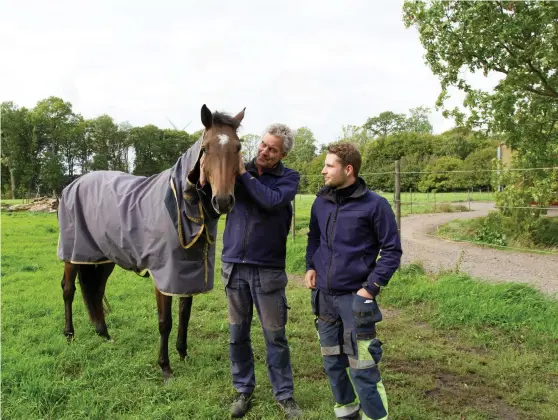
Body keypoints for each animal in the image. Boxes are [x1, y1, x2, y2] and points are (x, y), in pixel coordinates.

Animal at [57, 104, 245, 380]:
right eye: (207, 147)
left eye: (238, 147)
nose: (222, 201)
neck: (180, 203)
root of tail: (73, 184)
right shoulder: (164, 275)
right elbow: (165, 321)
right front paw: (165, 367)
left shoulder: (186, 273)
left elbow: (185, 314)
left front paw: (183, 354)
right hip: (73, 253)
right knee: (68, 290)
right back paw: (70, 336)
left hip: (103, 257)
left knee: (96, 291)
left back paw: (104, 335)